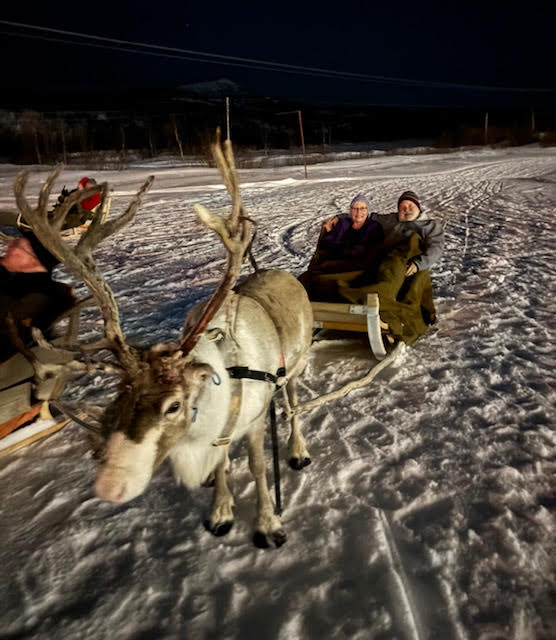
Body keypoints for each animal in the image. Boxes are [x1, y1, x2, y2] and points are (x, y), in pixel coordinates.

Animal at [11, 134, 314, 548]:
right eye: (119, 399)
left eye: (173, 406)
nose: (110, 486)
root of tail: (277, 270)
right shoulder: (217, 437)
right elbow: (221, 467)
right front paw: (220, 510)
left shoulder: (252, 421)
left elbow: (258, 468)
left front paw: (268, 525)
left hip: (294, 370)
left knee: (294, 405)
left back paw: (299, 451)